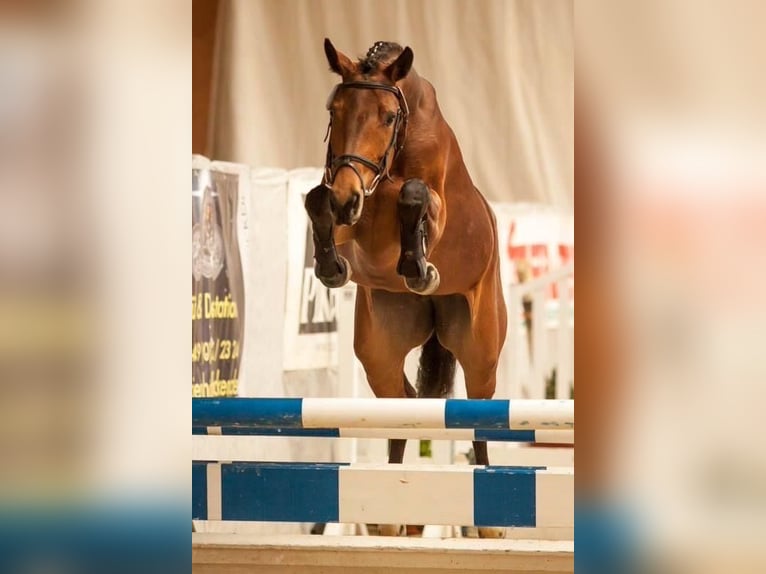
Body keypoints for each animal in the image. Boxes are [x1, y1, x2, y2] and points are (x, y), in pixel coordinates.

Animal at [306, 40, 510, 532]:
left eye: (386, 117)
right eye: (334, 110)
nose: (348, 198)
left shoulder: (428, 207)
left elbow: (414, 195)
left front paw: (419, 268)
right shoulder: (355, 220)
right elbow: (317, 198)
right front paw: (331, 266)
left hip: (480, 349)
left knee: (477, 412)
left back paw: (490, 524)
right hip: (379, 349)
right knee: (404, 403)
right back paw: (391, 515)